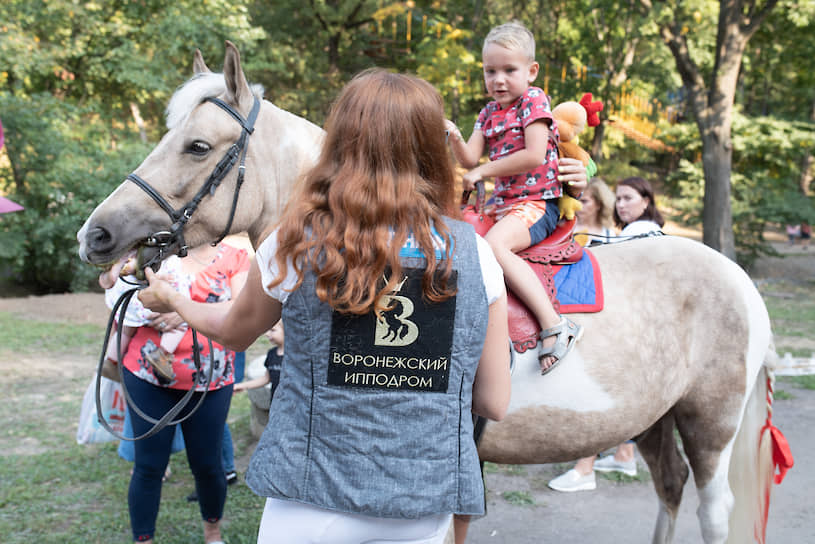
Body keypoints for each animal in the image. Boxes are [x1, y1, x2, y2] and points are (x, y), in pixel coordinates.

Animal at [78, 42, 784, 544]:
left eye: (198, 146)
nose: (97, 233)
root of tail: (738, 281)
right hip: (656, 421)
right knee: (669, 490)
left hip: (709, 424)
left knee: (711, 508)